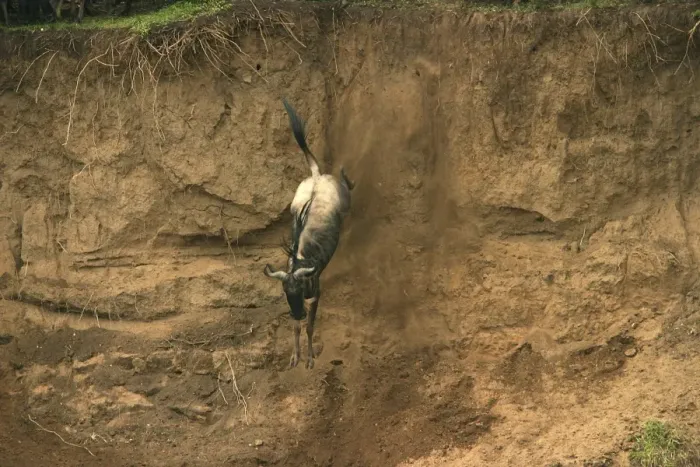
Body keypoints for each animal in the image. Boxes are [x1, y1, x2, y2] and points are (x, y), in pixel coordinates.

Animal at [264, 99, 355, 369]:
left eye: (303, 286)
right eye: (286, 293)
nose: (298, 312)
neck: (301, 260)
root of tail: (315, 177)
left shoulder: (314, 297)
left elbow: (310, 328)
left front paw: (311, 358)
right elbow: (295, 329)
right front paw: (295, 356)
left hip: (345, 202)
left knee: (348, 186)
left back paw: (346, 175)